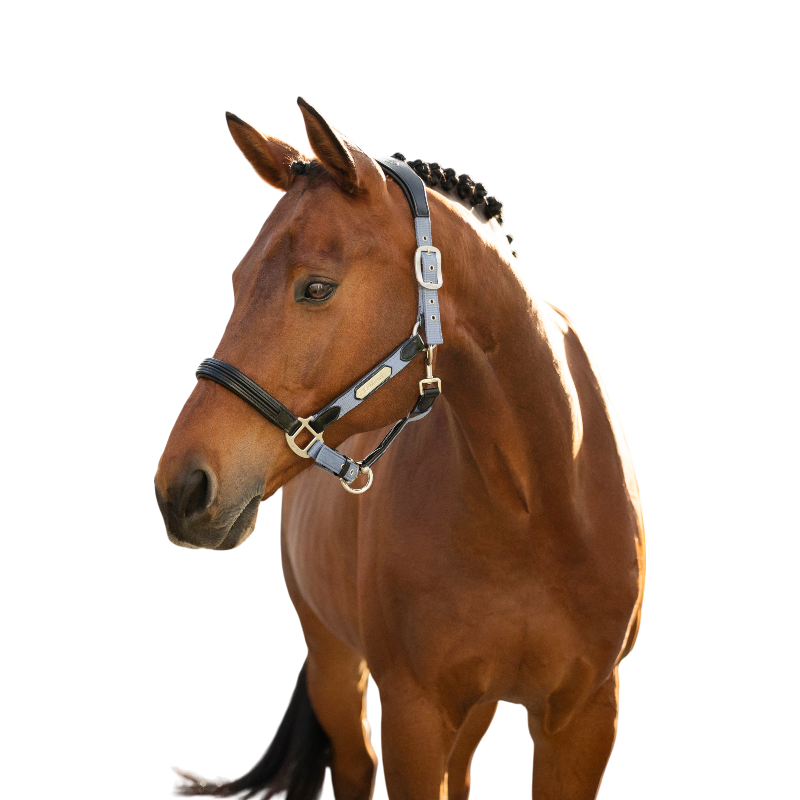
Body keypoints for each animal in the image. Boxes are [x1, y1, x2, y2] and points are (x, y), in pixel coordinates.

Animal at [155, 96, 645, 800]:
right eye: (239, 280)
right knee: (356, 760)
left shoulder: (583, 719)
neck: (536, 505)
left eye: (316, 287)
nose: (182, 486)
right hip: (334, 660)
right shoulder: (415, 713)